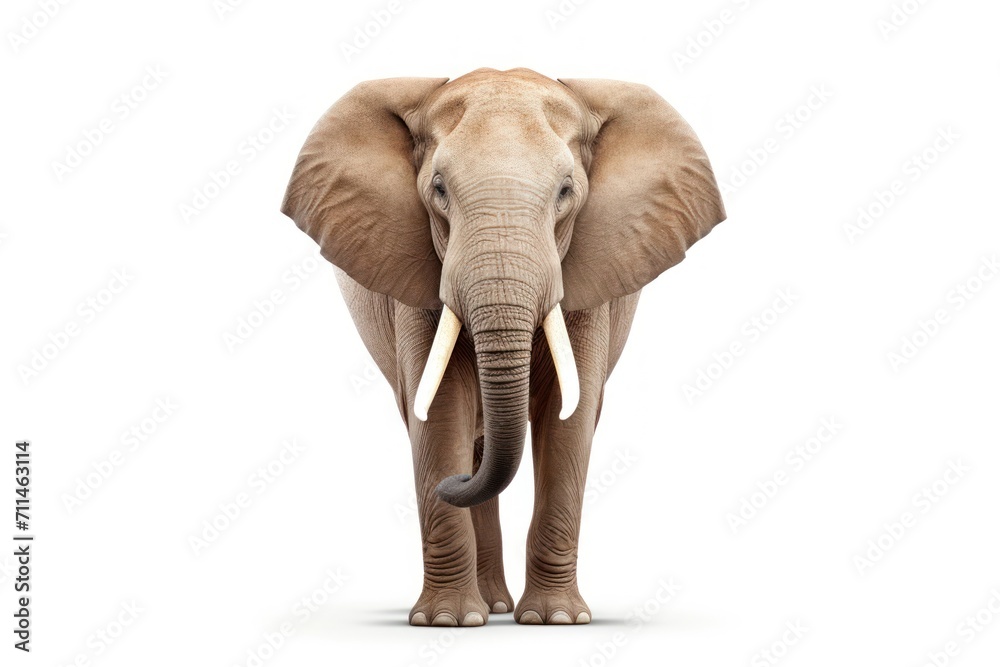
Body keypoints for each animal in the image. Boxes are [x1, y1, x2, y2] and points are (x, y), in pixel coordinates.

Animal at [281, 68, 725, 626]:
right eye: (438, 190)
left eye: (566, 191)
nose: (450, 485)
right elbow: (440, 409)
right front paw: (446, 622)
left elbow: (569, 415)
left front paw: (555, 620)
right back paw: (486, 608)